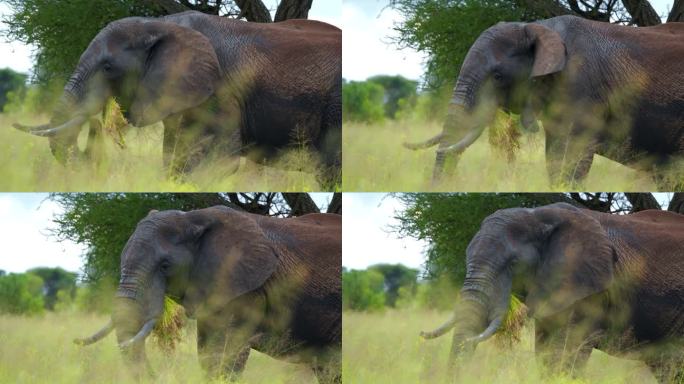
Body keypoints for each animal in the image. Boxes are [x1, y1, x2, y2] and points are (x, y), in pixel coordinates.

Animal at [17, 12, 342, 190]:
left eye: (108, 68)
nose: (96, 123)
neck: (160, 24)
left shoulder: (221, 91)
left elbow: (217, 161)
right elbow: (173, 157)